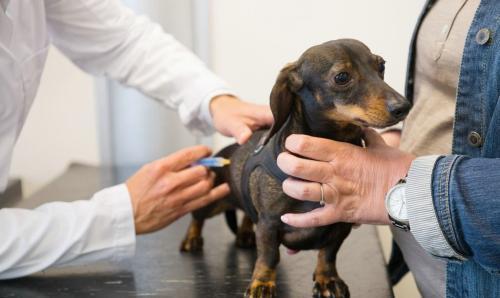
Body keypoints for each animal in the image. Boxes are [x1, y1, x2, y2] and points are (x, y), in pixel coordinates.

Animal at [180, 40, 410, 298]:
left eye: (381, 66)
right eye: (342, 77)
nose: (404, 107)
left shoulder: (341, 224)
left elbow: (328, 254)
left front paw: (327, 279)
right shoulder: (269, 223)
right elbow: (269, 256)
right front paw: (262, 283)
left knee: (248, 216)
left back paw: (245, 233)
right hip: (212, 201)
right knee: (197, 217)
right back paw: (192, 239)